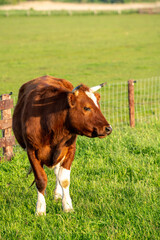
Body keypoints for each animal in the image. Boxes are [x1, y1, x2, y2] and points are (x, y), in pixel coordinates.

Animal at [12, 76, 112, 215]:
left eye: (98, 105)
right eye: (86, 108)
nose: (108, 128)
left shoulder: (70, 149)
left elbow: (64, 179)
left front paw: (67, 206)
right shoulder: (31, 151)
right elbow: (41, 180)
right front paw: (40, 210)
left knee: (57, 172)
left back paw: (58, 194)